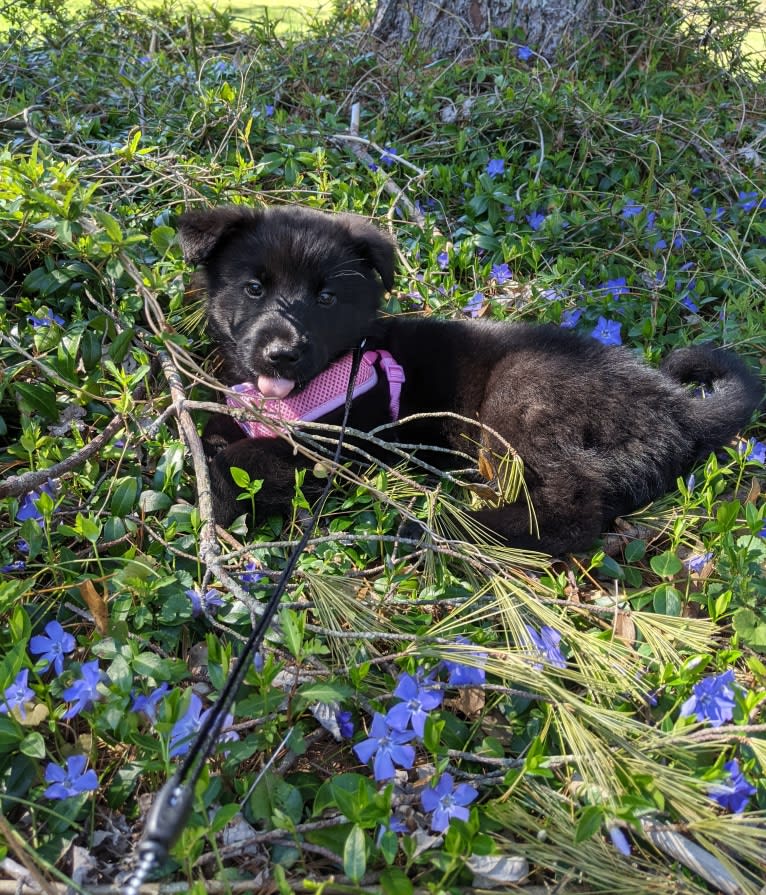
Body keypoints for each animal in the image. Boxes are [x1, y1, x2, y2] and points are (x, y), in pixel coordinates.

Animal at [178, 206, 760, 556]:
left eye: (326, 299)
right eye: (254, 288)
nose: (281, 355)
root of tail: (675, 403)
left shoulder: (345, 447)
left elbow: (244, 460)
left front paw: (218, 499)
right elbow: (221, 431)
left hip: (522, 392)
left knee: (571, 510)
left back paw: (443, 527)